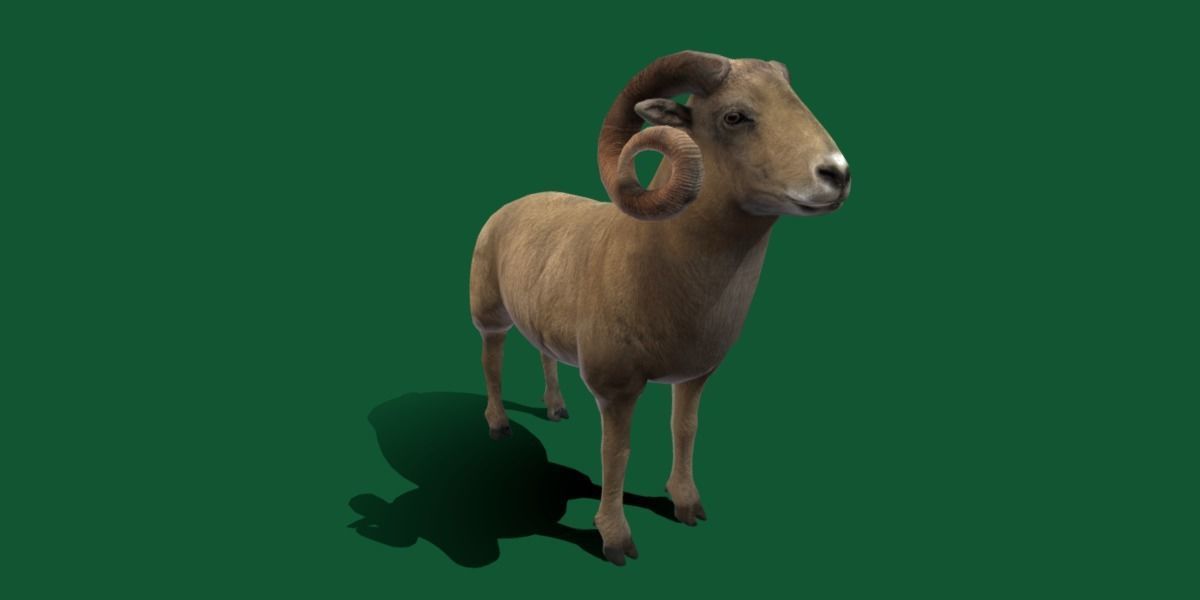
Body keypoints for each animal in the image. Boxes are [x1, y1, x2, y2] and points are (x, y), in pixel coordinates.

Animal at [468, 50, 850, 565]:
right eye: (734, 116)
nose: (836, 174)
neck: (658, 268)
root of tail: (510, 206)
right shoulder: (615, 389)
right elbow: (617, 453)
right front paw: (615, 540)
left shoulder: (694, 376)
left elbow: (684, 429)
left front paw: (686, 505)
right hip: (489, 316)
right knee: (492, 362)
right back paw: (499, 426)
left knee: (545, 355)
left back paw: (556, 410)